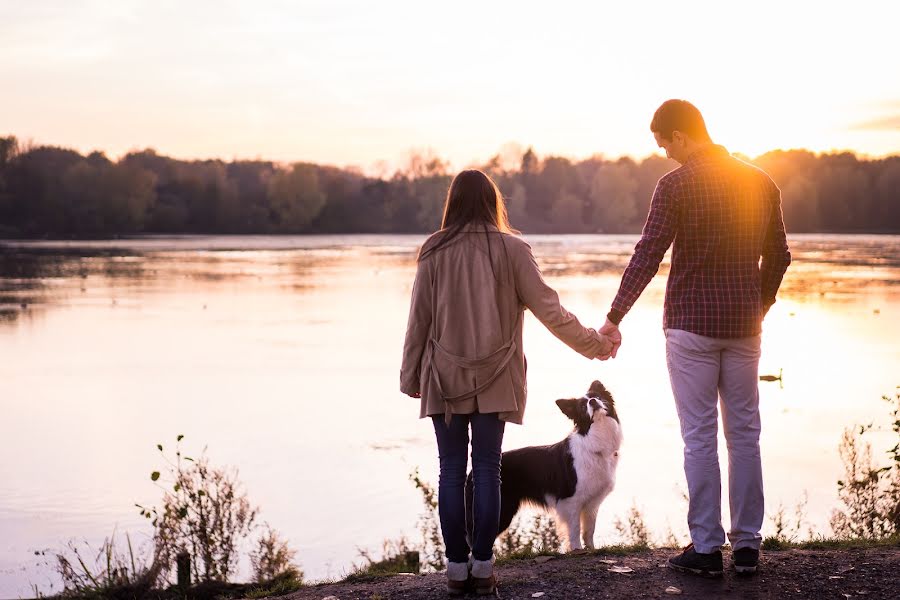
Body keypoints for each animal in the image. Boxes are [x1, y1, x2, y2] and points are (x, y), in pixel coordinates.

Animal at [468, 382, 624, 552]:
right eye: (583, 406)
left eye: (597, 396)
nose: (593, 402)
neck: (593, 440)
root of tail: (471, 472)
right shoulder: (571, 500)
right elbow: (575, 529)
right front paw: (577, 550)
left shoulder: (591, 503)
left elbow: (589, 530)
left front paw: (591, 549)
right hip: (503, 509)